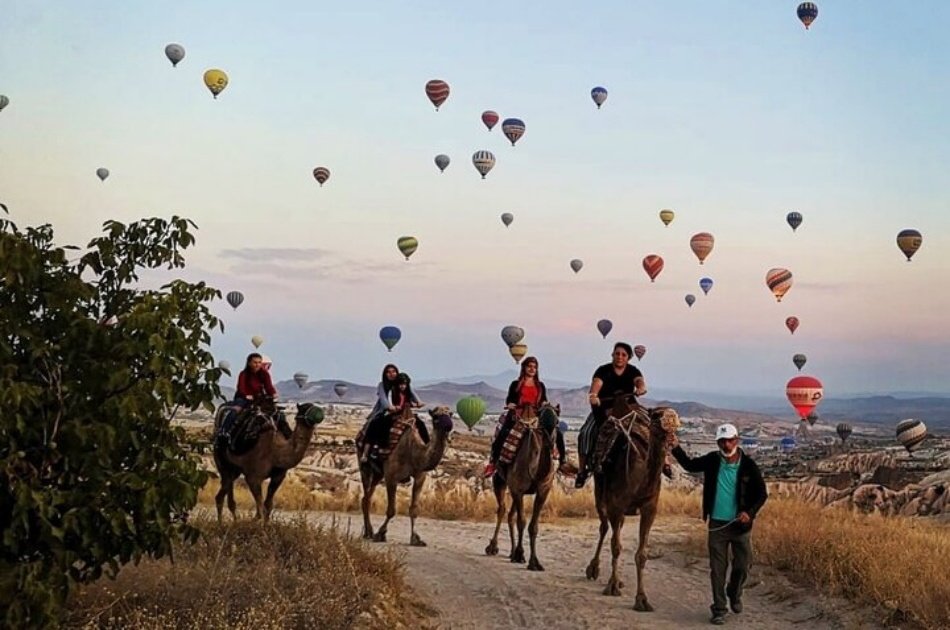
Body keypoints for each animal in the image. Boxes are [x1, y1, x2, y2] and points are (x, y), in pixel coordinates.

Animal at [360, 408, 458, 544]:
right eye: (436, 417)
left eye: (450, 414)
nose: (449, 425)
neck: (413, 453)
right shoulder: (391, 477)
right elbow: (391, 510)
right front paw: (380, 534)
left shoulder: (420, 477)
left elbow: (414, 510)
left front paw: (415, 538)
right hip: (365, 467)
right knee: (365, 496)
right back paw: (368, 533)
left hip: (378, 474)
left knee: (367, 497)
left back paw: (368, 532)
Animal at [488, 404, 560, 572]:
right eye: (541, 422)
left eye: (557, 422)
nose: (549, 442)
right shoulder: (518, 489)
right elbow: (522, 521)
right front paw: (520, 555)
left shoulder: (543, 491)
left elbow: (533, 526)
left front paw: (534, 561)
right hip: (500, 479)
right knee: (502, 510)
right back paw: (493, 547)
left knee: (510, 514)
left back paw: (511, 551)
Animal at [584, 398, 680, 616]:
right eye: (656, 415)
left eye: (676, 418)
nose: (671, 420)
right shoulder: (616, 506)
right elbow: (616, 546)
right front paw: (611, 586)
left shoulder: (649, 509)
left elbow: (642, 554)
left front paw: (642, 599)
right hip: (600, 491)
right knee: (604, 527)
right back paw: (594, 569)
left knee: (615, 528)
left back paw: (617, 580)